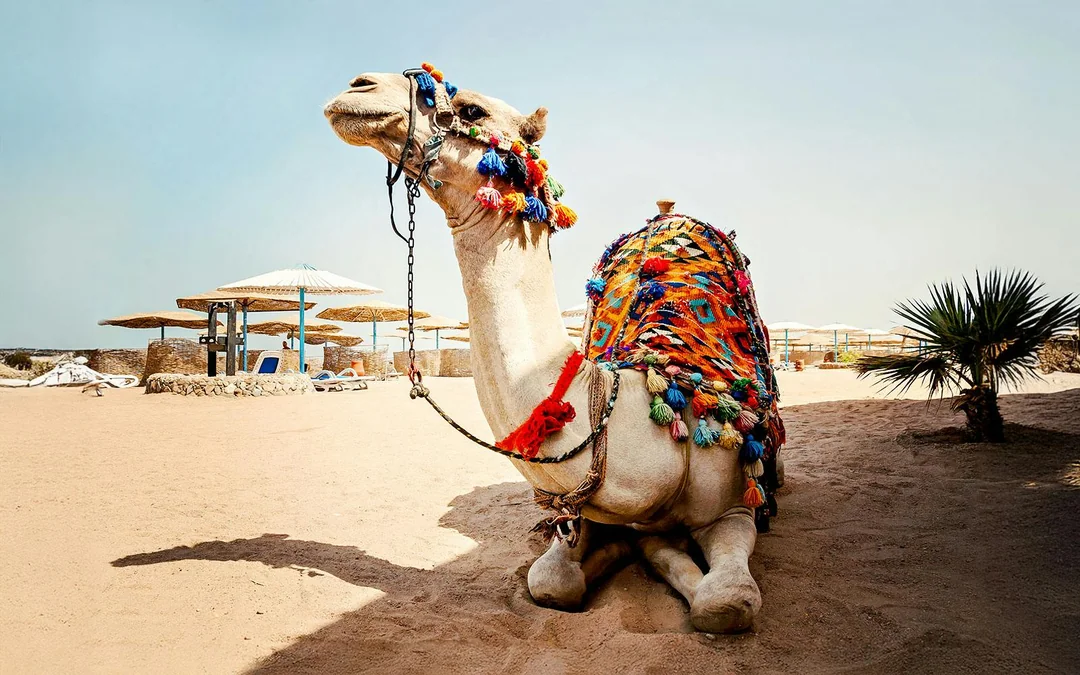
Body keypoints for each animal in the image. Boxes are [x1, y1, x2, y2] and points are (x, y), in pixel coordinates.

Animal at [324, 67, 781, 633]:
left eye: (472, 110)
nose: (359, 87)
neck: (642, 406)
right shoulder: (585, 511)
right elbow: (552, 581)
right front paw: (635, 550)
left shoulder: (733, 508)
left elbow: (725, 602)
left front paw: (674, 561)